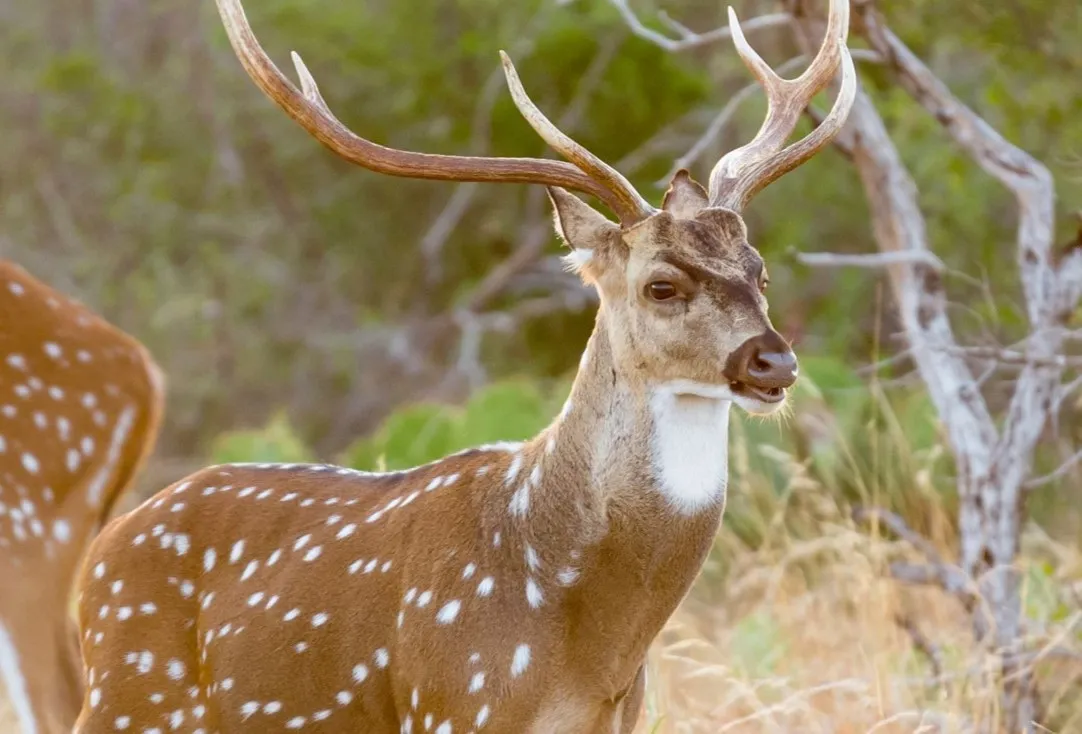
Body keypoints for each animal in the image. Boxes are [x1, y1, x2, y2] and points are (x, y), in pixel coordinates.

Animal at [72, 0, 855, 731]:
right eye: (661, 284)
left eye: (759, 271)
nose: (773, 360)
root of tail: (91, 566)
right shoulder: (457, 701)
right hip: (130, 696)